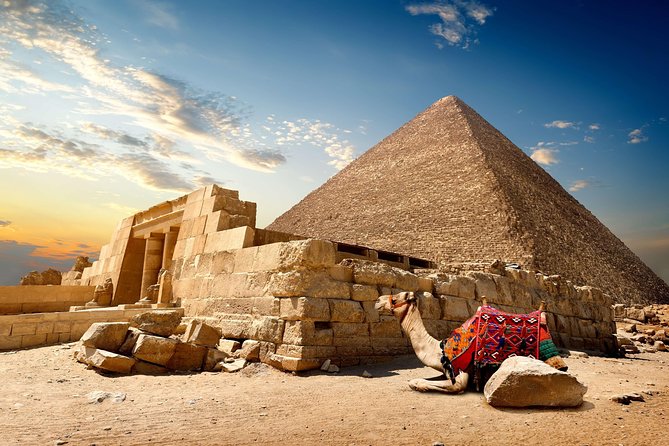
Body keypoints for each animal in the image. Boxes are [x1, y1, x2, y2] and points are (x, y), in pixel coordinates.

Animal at [375, 291, 567, 393]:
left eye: (395, 299)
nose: (377, 301)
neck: (440, 350)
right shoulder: (446, 369)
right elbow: (416, 379)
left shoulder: (460, 373)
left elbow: (428, 383)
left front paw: (421, 386)